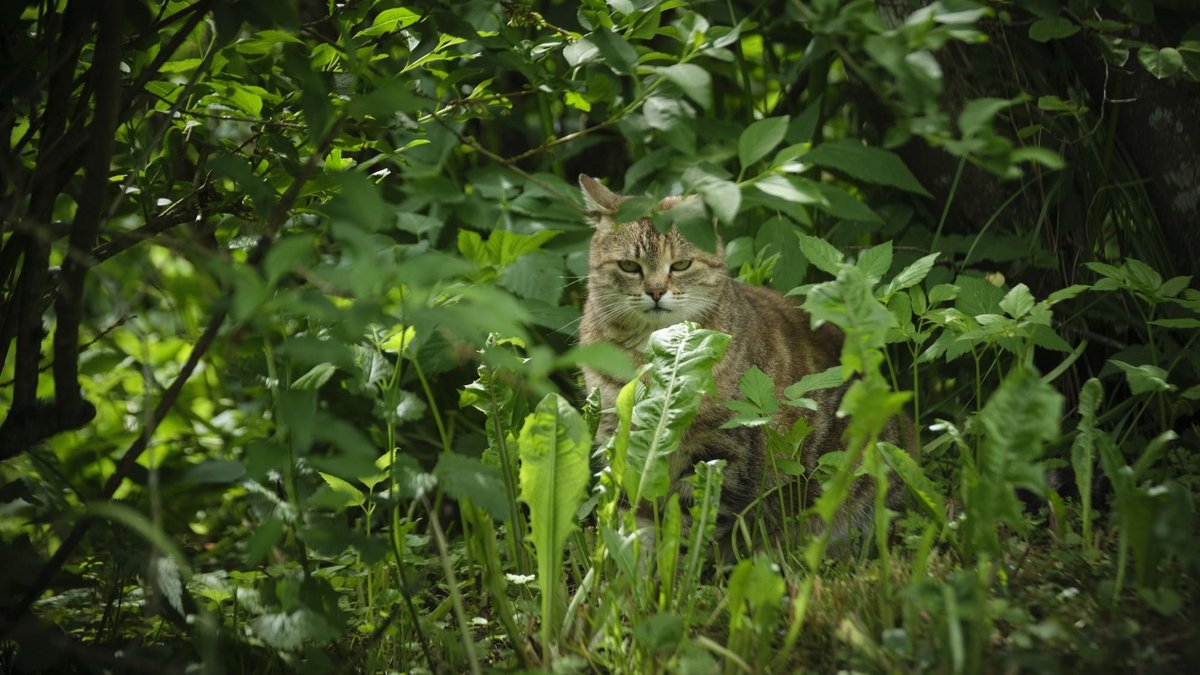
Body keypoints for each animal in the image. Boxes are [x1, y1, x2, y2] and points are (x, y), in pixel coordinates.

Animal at [573, 172, 907, 547]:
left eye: (681, 264)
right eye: (630, 266)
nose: (656, 291)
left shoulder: (719, 449)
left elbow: (692, 526)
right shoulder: (618, 438)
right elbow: (634, 521)